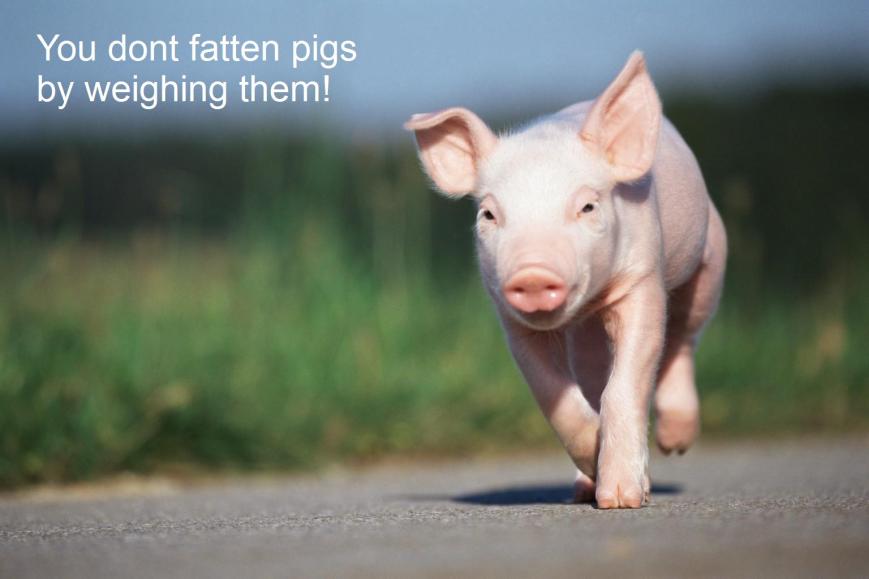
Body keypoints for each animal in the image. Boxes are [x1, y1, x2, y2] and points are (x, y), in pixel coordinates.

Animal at [404, 52, 727, 509]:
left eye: (588, 206)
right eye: (488, 214)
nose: (533, 273)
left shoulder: (643, 277)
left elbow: (626, 382)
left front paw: (622, 500)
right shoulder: (511, 318)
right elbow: (553, 395)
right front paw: (596, 464)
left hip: (711, 254)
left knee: (683, 336)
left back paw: (675, 444)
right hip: (587, 335)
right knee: (593, 374)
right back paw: (583, 488)